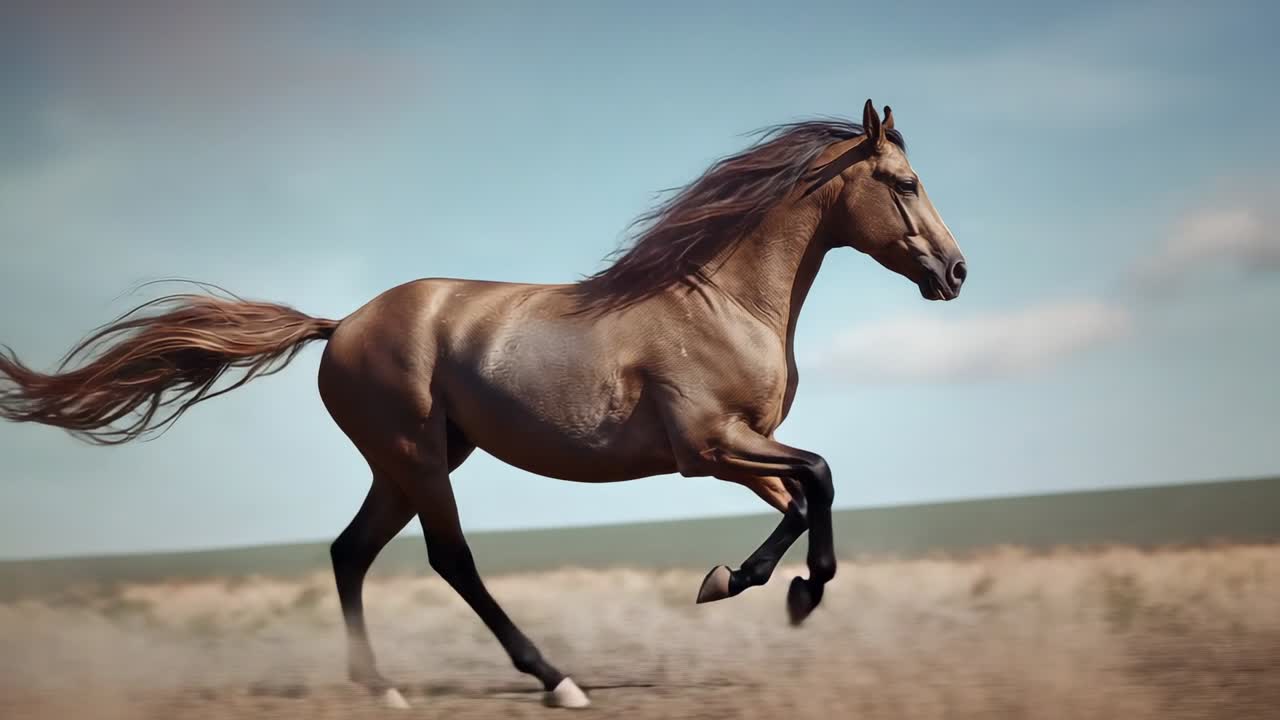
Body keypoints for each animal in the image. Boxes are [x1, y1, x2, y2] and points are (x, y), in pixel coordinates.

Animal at [0, 99, 966, 710]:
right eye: (905, 183)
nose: (957, 273)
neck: (721, 300)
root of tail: (340, 323)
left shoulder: (743, 447)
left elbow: (804, 498)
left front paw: (774, 588)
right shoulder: (710, 446)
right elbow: (822, 477)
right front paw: (756, 585)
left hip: (411, 462)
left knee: (349, 552)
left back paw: (382, 687)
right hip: (418, 459)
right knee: (448, 560)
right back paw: (556, 679)